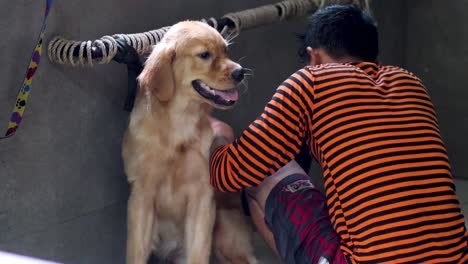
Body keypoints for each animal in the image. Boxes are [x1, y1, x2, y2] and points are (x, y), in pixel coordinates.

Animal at [122, 21, 258, 264]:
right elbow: (136, 252)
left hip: (226, 235)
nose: (240, 72)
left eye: (226, 51)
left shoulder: (202, 198)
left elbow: (198, 252)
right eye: (204, 55)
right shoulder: (141, 197)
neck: (177, 127)